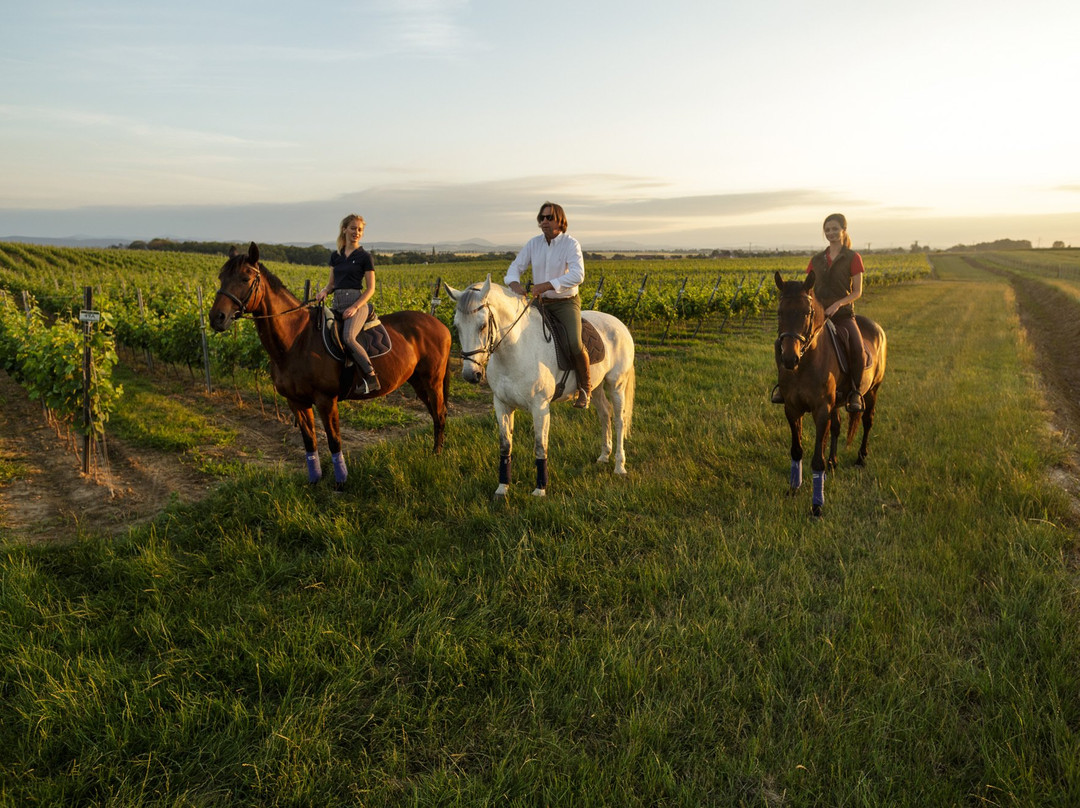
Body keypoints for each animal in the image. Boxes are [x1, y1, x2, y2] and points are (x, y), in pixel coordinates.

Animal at [208, 243, 449, 488]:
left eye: (245, 278)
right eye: (221, 277)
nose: (216, 318)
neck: (296, 340)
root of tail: (439, 324)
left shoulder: (326, 400)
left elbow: (334, 441)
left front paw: (341, 482)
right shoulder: (296, 402)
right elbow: (310, 441)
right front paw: (314, 480)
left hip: (432, 381)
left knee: (439, 414)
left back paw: (437, 455)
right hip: (418, 381)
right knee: (435, 413)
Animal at [444, 274, 630, 494]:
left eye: (482, 325)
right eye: (456, 326)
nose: (470, 375)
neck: (515, 349)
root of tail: (618, 323)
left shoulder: (540, 407)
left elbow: (540, 446)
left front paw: (540, 489)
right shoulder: (501, 405)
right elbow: (505, 445)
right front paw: (502, 488)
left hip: (616, 385)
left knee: (619, 419)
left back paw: (619, 466)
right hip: (597, 386)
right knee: (604, 413)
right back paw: (603, 456)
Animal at [777, 267, 885, 514]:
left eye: (806, 313)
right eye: (779, 312)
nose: (789, 358)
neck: (805, 363)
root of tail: (877, 328)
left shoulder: (821, 410)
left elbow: (818, 457)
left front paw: (817, 505)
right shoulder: (792, 409)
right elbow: (797, 450)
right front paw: (793, 489)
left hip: (872, 391)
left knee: (867, 421)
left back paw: (861, 458)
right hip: (838, 401)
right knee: (836, 427)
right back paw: (834, 462)